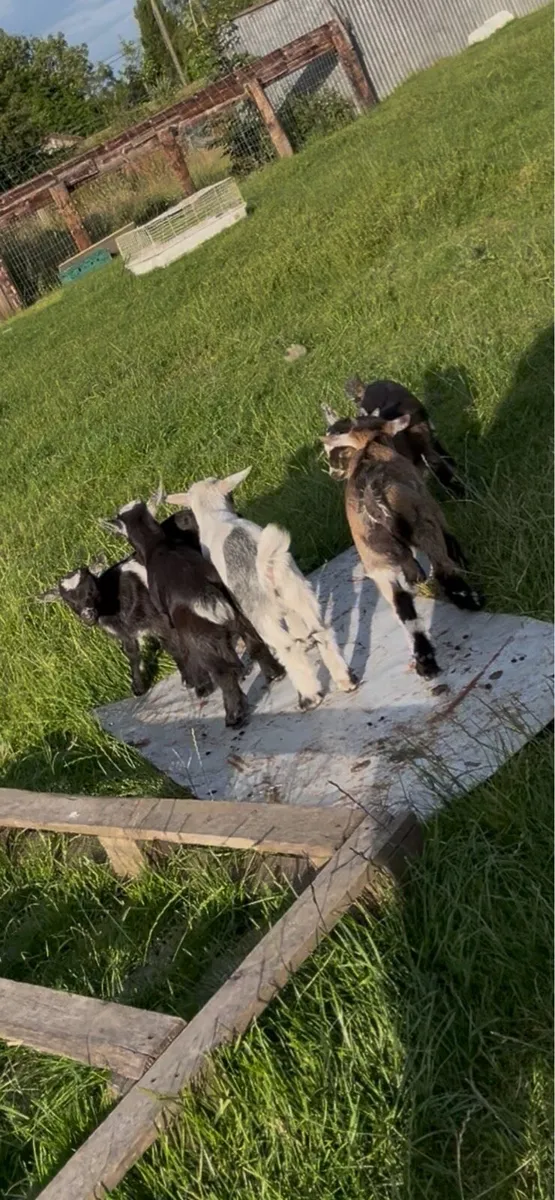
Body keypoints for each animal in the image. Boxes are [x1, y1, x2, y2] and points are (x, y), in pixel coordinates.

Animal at [101, 499, 284, 727]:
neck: (159, 546)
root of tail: (206, 595)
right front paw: (241, 671)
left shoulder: (168, 621)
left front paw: (200, 685)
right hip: (239, 617)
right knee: (255, 645)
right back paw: (274, 674)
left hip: (200, 639)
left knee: (221, 672)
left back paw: (233, 716)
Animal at [166, 469, 358, 711]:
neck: (218, 516)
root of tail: (266, 565)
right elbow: (296, 626)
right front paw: (303, 639)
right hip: (298, 591)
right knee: (320, 630)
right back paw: (345, 679)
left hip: (262, 615)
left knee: (288, 648)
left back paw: (308, 697)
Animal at [322, 416, 484, 678]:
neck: (370, 446)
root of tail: (373, 500)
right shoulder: (431, 507)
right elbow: (449, 538)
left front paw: (416, 576)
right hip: (423, 525)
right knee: (443, 571)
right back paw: (471, 600)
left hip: (377, 563)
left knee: (402, 607)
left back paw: (425, 662)